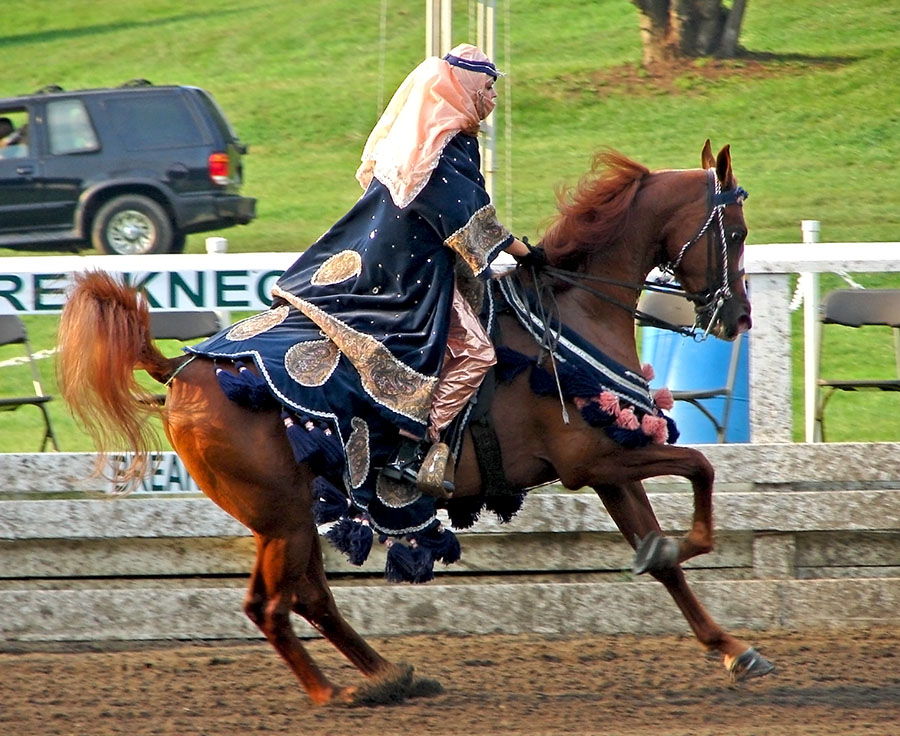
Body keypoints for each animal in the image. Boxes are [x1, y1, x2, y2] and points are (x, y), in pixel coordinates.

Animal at [56, 139, 772, 708]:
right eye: (735, 230)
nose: (739, 316)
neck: (572, 310)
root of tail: (180, 369)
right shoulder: (595, 461)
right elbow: (701, 471)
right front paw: (692, 549)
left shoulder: (609, 466)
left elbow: (662, 558)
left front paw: (731, 647)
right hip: (280, 515)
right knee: (273, 605)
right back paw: (334, 692)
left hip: (290, 516)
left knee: (308, 598)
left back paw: (389, 675)